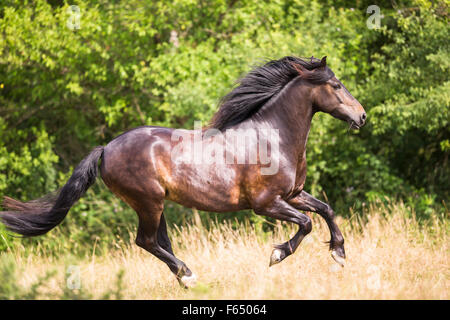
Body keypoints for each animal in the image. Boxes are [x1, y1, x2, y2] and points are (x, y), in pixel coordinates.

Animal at [0, 56, 366, 288]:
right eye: (336, 85)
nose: (362, 116)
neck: (272, 138)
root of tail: (106, 148)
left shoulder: (293, 194)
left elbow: (325, 209)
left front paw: (339, 253)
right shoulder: (266, 203)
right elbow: (305, 224)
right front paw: (277, 254)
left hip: (154, 203)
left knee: (158, 241)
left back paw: (184, 278)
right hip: (148, 202)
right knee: (146, 240)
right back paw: (189, 275)